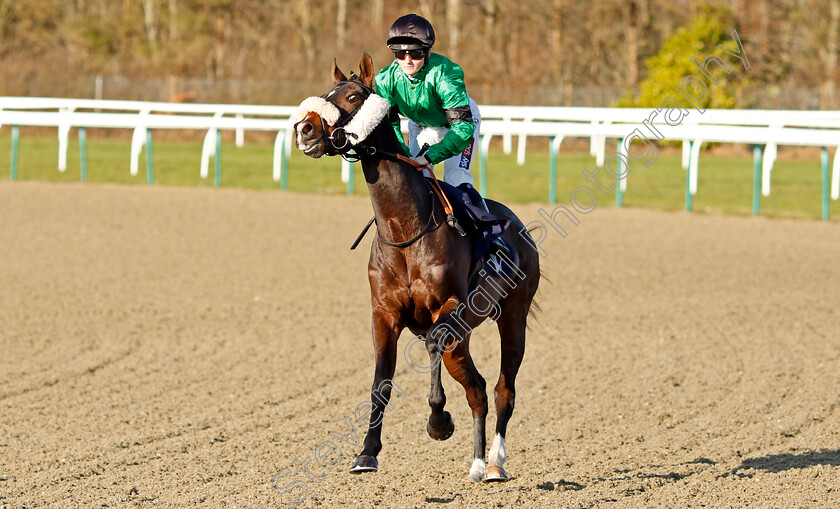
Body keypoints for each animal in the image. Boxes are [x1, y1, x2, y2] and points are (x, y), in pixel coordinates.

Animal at [296, 53, 540, 482]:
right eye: (326, 93)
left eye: (354, 96)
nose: (304, 128)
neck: (405, 228)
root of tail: (519, 227)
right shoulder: (383, 313)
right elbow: (381, 382)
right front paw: (366, 453)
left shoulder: (450, 308)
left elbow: (431, 343)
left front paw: (438, 421)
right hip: (467, 338)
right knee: (477, 389)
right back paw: (477, 463)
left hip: (513, 316)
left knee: (502, 389)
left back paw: (495, 462)